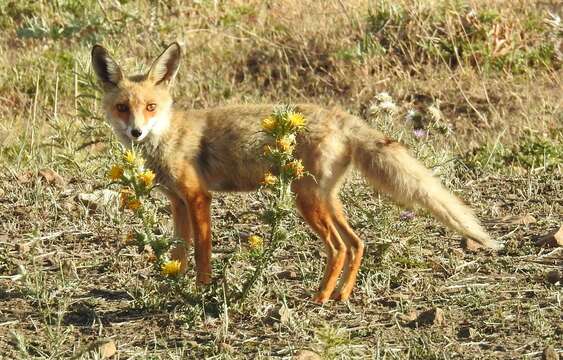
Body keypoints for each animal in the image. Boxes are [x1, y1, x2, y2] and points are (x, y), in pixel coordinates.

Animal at [92, 41, 502, 304]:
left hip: (306, 201)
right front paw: (172, 285)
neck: (168, 138)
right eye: (122, 108)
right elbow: (178, 250)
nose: (136, 133)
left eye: (150, 107)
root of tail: (340, 116)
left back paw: (320, 297)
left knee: (339, 247)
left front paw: (200, 290)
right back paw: (342, 295)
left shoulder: (197, 197)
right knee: (357, 242)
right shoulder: (177, 202)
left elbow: (202, 250)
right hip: (326, 200)